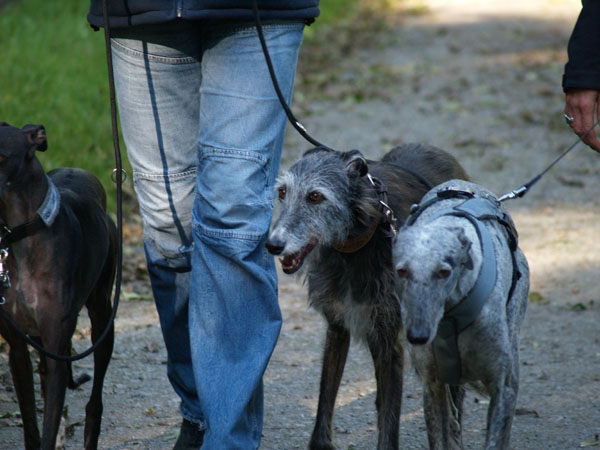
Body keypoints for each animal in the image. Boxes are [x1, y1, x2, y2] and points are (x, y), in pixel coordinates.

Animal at [0, 122, 117, 449]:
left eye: (0, 155)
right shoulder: (18, 349)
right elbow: (31, 424)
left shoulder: (55, 345)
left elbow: (48, 425)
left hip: (102, 320)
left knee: (94, 402)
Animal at [266, 143, 468, 450]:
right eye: (282, 192)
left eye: (315, 196)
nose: (273, 245)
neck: (362, 239)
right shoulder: (338, 326)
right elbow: (326, 394)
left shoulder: (390, 340)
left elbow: (390, 415)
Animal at [392, 179, 529, 449]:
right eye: (401, 271)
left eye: (444, 272)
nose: (418, 336)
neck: (451, 317)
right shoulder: (432, 387)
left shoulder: (503, 390)